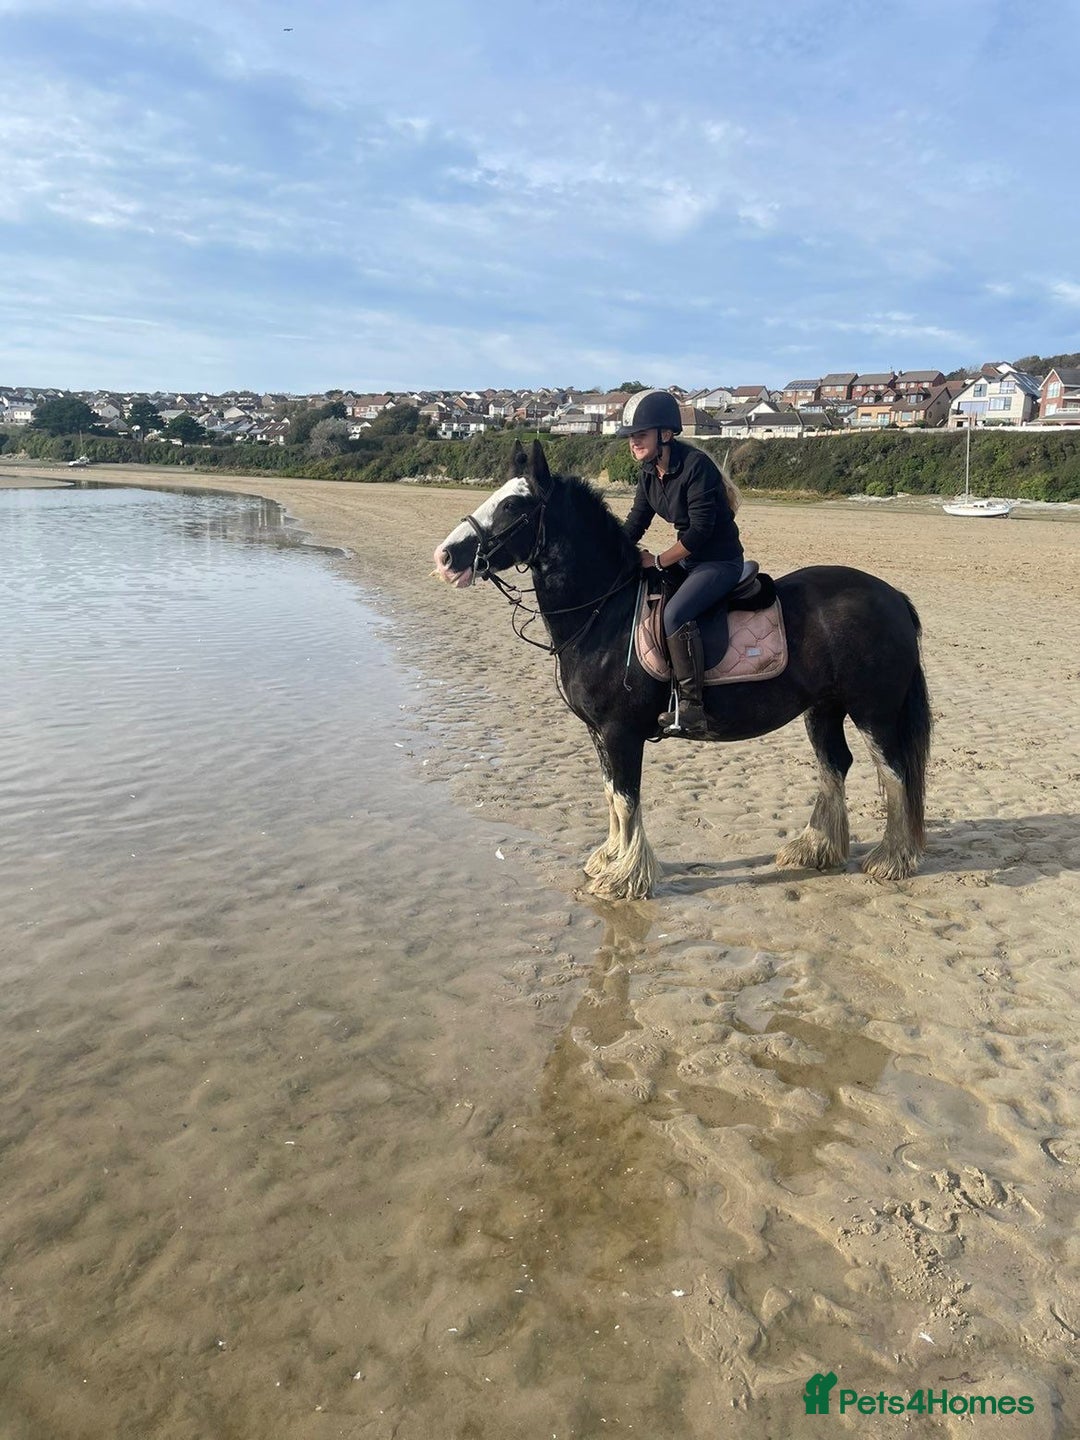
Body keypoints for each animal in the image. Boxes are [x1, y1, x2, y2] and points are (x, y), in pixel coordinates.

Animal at [433, 440, 931, 901]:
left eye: (513, 506)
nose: (445, 557)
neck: (604, 612)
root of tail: (893, 596)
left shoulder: (620, 732)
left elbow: (626, 798)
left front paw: (625, 877)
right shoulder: (599, 733)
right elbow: (611, 794)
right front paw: (609, 860)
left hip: (874, 712)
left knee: (894, 773)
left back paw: (892, 859)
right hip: (823, 709)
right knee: (835, 766)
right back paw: (816, 848)